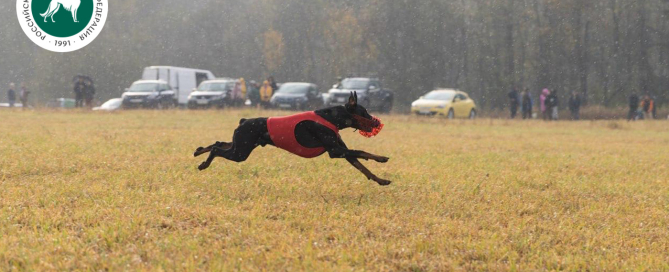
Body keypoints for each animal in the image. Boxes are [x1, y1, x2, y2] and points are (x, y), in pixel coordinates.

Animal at [193, 91, 392, 185]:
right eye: (364, 112)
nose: (377, 122)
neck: (331, 118)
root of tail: (243, 121)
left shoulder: (342, 151)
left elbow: (363, 167)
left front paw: (381, 180)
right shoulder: (336, 151)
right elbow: (362, 152)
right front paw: (382, 158)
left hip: (241, 144)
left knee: (218, 143)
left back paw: (198, 151)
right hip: (241, 151)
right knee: (217, 149)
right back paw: (203, 164)